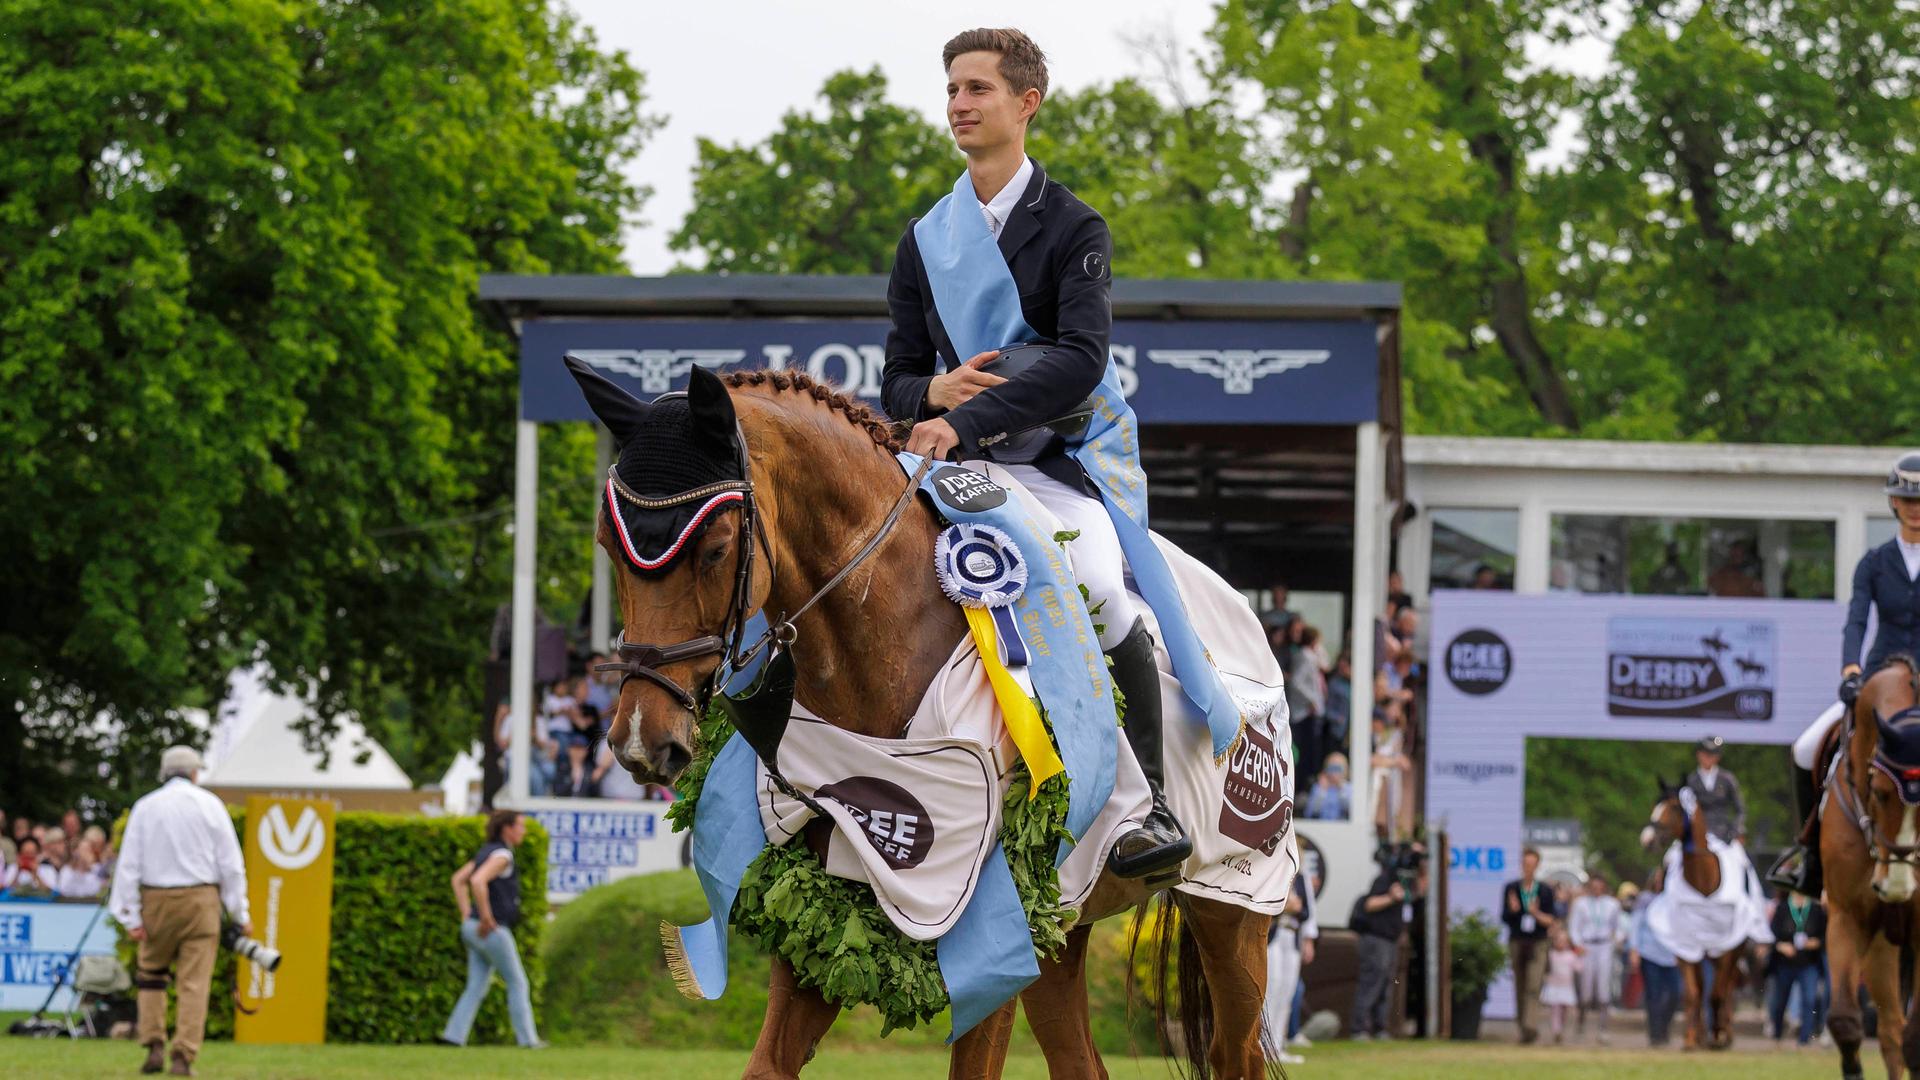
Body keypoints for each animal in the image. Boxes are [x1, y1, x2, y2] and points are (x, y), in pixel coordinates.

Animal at [583, 365, 1274, 1068]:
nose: (641, 741)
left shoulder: (992, 935)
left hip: (1236, 911)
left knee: (1235, 1049)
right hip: (1063, 929)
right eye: (607, 543)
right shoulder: (821, 916)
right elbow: (768, 1061)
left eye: (718, 549)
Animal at [1635, 776, 1743, 1045]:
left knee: (1726, 987)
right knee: (1704, 987)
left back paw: (1724, 1031)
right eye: (1656, 804)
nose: (1648, 838)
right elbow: (1694, 992)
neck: (1703, 882)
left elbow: (1718, 992)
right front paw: (1692, 1037)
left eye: (1675, 807)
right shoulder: (1685, 945)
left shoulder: (1726, 947)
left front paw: (1719, 1034)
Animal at [1812, 657, 1920, 1076]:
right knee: (1890, 1030)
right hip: (1880, 950)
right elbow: (1845, 1021)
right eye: (1878, 791)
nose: (1897, 887)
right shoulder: (1847, 915)